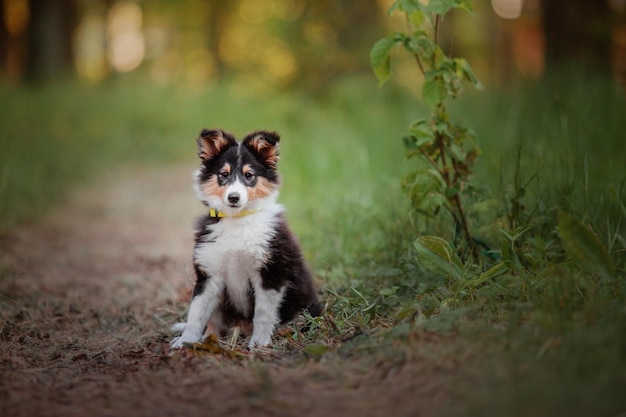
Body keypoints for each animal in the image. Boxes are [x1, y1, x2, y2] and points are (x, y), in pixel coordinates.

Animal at [168, 127, 320, 348]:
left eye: (249, 175)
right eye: (224, 174)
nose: (233, 197)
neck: (237, 220)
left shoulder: (270, 272)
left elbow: (263, 313)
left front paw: (258, 343)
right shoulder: (209, 273)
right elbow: (196, 313)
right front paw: (185, 341)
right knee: (214, 322)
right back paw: (207, 337)